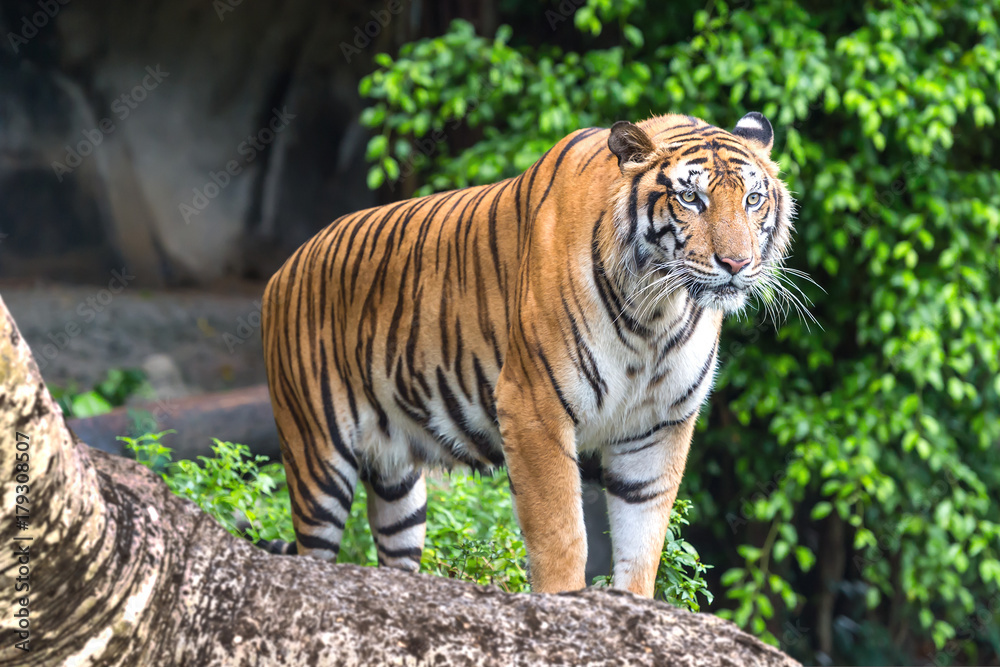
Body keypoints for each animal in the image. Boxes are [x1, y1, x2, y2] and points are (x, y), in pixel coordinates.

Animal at [259, 111, 794, 597]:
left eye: (752, 199)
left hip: (397, 483)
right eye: (690, 198)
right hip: (317, 454)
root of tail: (283, 269)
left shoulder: (658, 425)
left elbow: (643, 542)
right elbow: (561, 532)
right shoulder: (534, 405)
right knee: (310, 554)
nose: (737, 263)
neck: (656, 314)